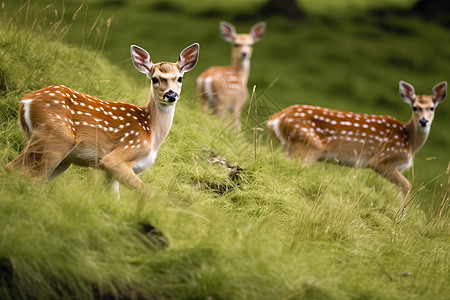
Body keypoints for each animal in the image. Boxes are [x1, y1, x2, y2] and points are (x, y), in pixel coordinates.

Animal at [5, 42, 199, 197]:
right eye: (155, 79)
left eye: (180, 78)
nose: (171, 95)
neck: (151, 133)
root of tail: (26, 101)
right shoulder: (119, 156)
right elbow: (145, 191)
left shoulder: (109, 173)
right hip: (56, 140)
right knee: (28, 178)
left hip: (53, 152)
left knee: (12, 168)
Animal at [268, 80, 446, 197]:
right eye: (415, 107)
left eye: (432, 108)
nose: (423, 121)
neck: (409, 141)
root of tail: (275, 119)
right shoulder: (382, 159)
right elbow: (407, 186)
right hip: (308, 147)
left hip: (293, 146)